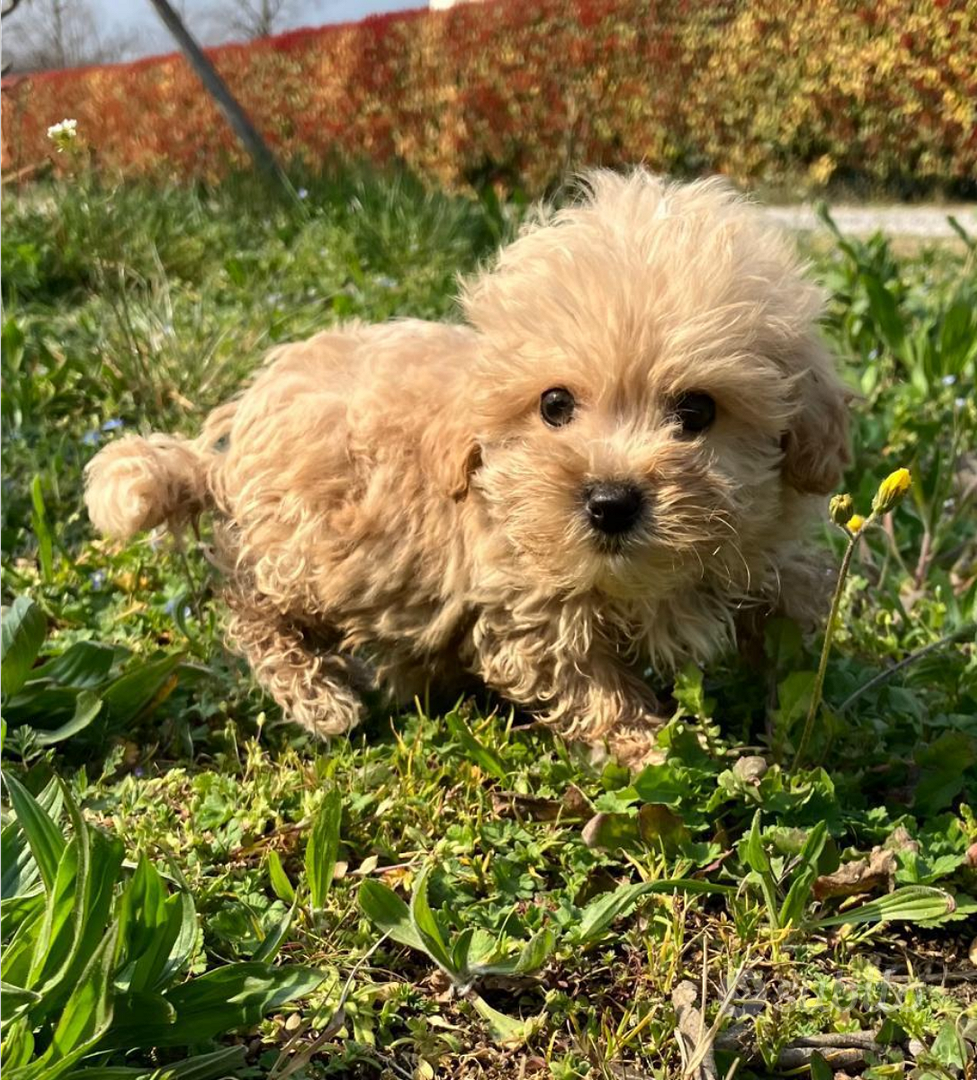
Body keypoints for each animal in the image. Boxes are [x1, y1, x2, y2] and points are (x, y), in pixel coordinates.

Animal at [83, 168, 846, 764]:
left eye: (696, 411)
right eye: (555, 405)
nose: (609, 503)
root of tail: (234, 436)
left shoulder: (759, 549)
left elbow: (791, 605)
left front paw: (807, 691)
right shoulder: (528, 609)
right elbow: (592, 683)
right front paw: (649, 747)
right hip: (305, 549)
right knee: (248, 603)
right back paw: (321, 695)